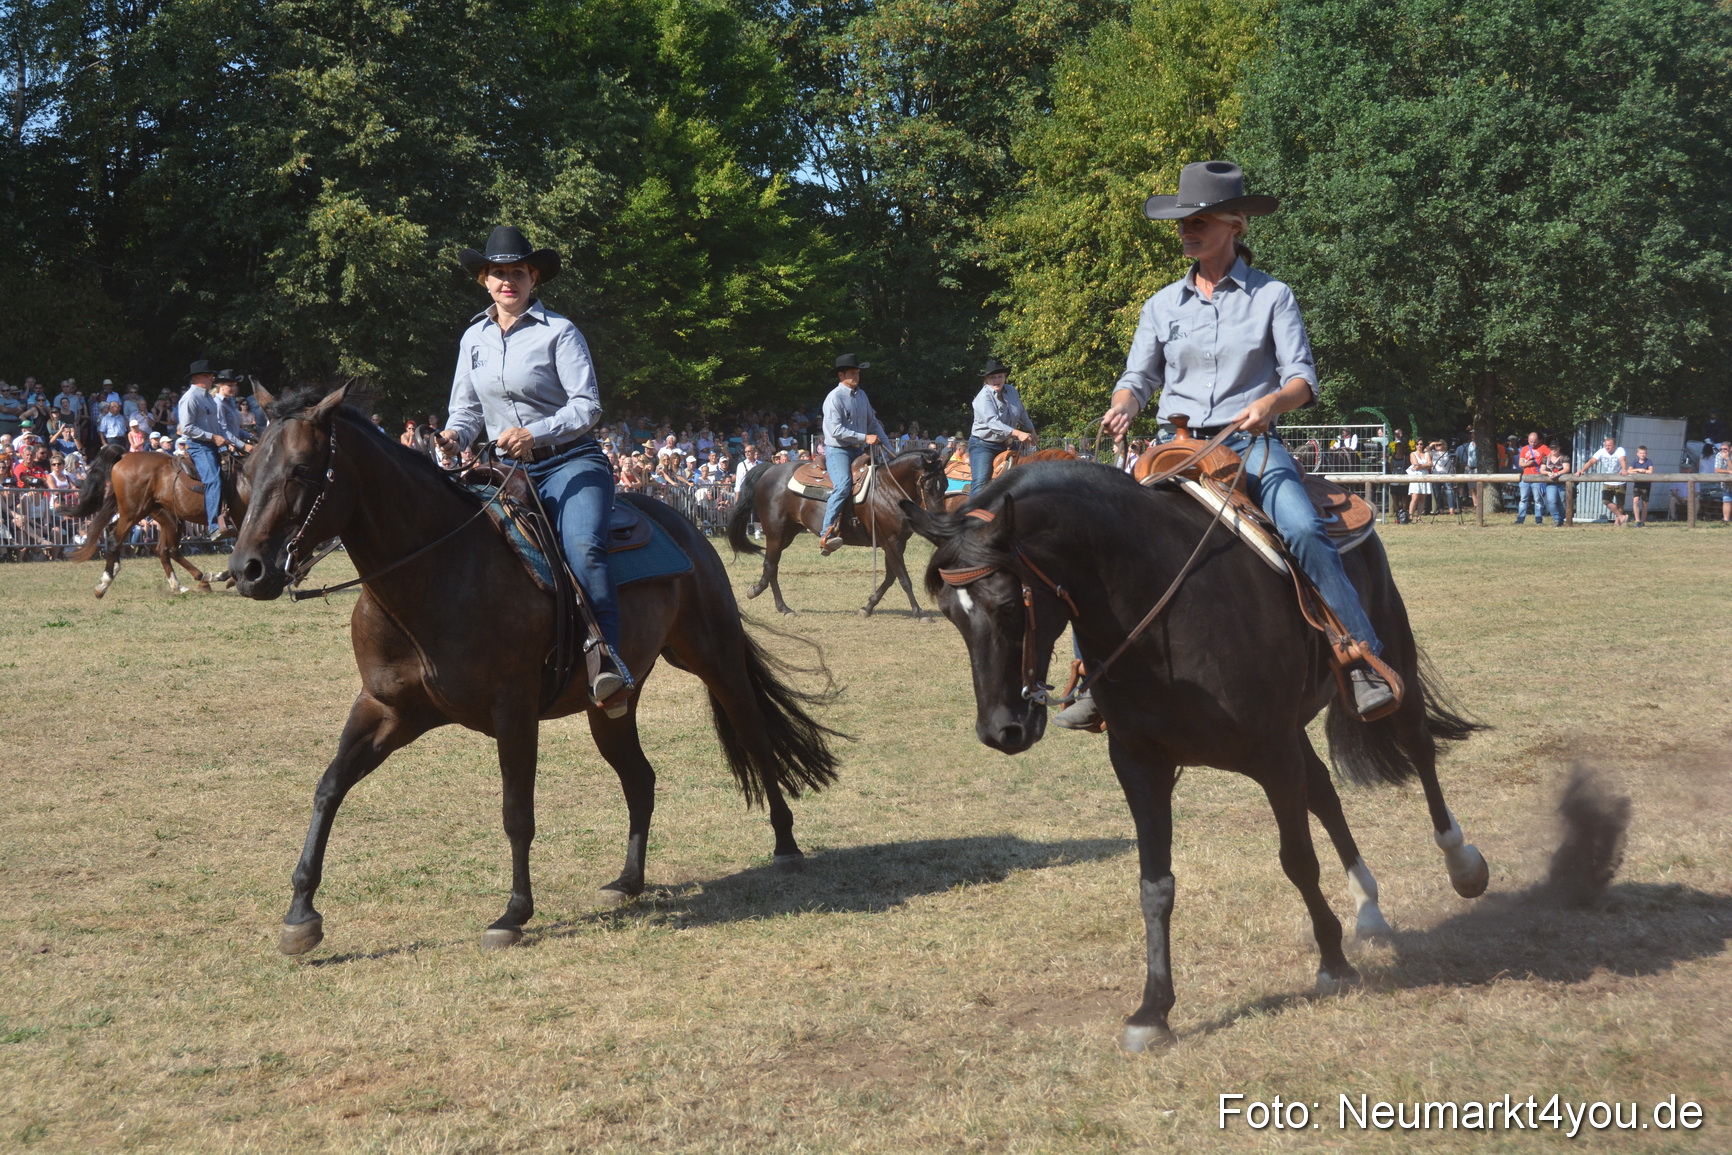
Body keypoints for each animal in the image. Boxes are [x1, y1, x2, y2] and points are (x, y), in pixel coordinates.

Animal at [66, 446, 250, 597]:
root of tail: (125, 456)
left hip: (168, 519)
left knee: (165, 549)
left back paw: (186, 584)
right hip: (134, 513)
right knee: (115, 540)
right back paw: (104, 584)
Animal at [228, 384, 843, 955]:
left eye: (301, 469)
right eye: (248, 471)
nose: (247, 569)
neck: (435, 571)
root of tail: (683, 524)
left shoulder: (513, 711)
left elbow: (515, 812)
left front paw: (513, 914)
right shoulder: (386, 708)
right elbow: (329, 787)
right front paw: (301, 915)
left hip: (717, 661)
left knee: (756, 738)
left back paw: (786, 847)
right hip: (611, 706)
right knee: (640, 778)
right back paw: (627, 881)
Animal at [726, 449, 946, 617]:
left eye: (944, 485)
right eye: (928, 486)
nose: (938, 520)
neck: (888, 489)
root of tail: (770, 469)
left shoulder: (897, 542)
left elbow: (891, 577)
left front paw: (868, 606)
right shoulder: (890, 541)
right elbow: (903, 578)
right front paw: (918, 611)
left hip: (786, 534)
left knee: (771, 567)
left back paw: (772, 600)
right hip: (775, 533)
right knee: (770, 565)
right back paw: (778, 604)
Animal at [902, 461, 1488, 1051]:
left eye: (1007, 604)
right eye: (950, 614)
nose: (1001, 729)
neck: (1161, 612)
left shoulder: (1272, 753)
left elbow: (1297, 860)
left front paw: (1332, 963)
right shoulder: (1141, 765)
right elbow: (1155, 886)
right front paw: (1152, 1011)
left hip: (1394, 661)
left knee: (1418, 750)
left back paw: (1462, 865)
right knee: (1324, 789)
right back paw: (1367, 909)